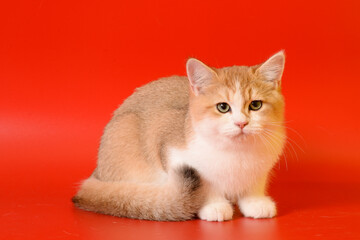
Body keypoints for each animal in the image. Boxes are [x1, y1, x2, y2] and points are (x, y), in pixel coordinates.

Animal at [72, 51, 286, 222]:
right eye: (223, 107)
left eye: (255, 105)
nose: (241, 123)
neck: (237, 151)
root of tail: (97, 172)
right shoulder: (171, 147)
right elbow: (207, 186)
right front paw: (214, 206)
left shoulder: (260, 168)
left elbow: (253, 185)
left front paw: (254, 203)